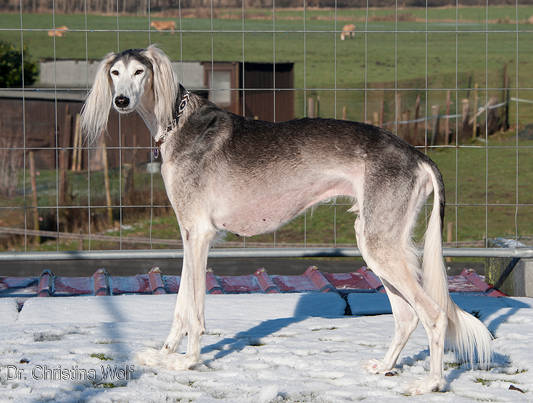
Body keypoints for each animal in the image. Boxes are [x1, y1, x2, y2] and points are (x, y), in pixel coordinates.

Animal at [80, 45, 492, 394]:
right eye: (115, 72)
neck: (178, 123)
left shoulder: (199, 234)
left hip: (381, 246)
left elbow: (194, 311)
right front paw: (165, 354)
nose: (121, 101)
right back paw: (386, 367)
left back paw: (432, 383)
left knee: (434, 315)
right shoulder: (187, 234)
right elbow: (181, 305)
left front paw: (188, 362)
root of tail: (416, 154)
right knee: (407, 316)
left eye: (139, 71)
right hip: (378, 242)